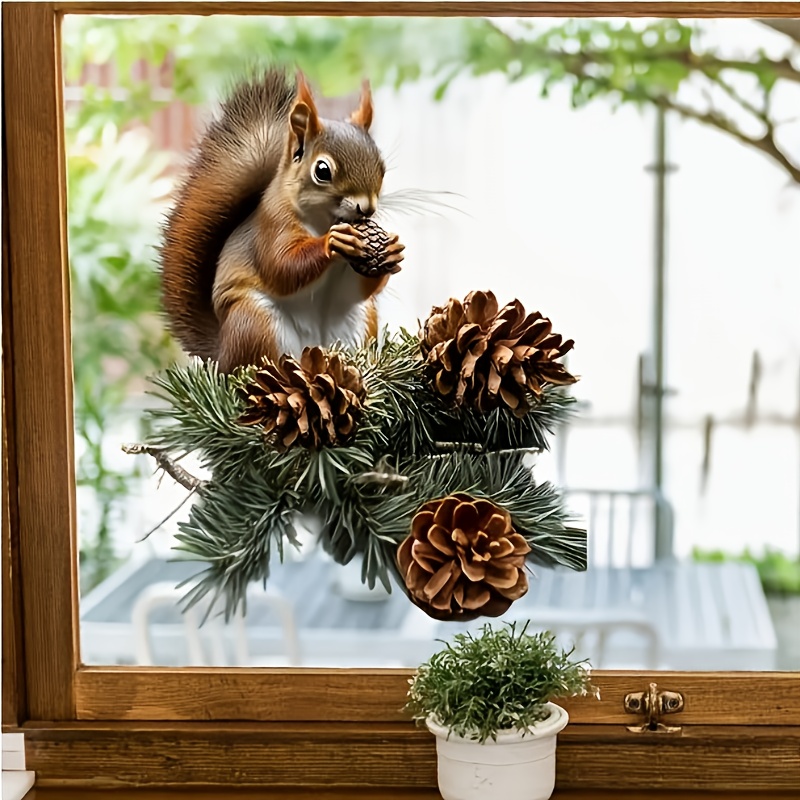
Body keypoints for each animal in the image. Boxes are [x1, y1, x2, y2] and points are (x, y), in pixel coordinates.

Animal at [160, 69, 404, 372]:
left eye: (382, 167)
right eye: (322, 171)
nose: (367, 208)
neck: (324, 220)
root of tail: (222, 355)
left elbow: (357, 289)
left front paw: (391, 250)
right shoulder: (272, 226)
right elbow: (283, 267)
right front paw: (332, 241)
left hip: (361, 320)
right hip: (254, 321)